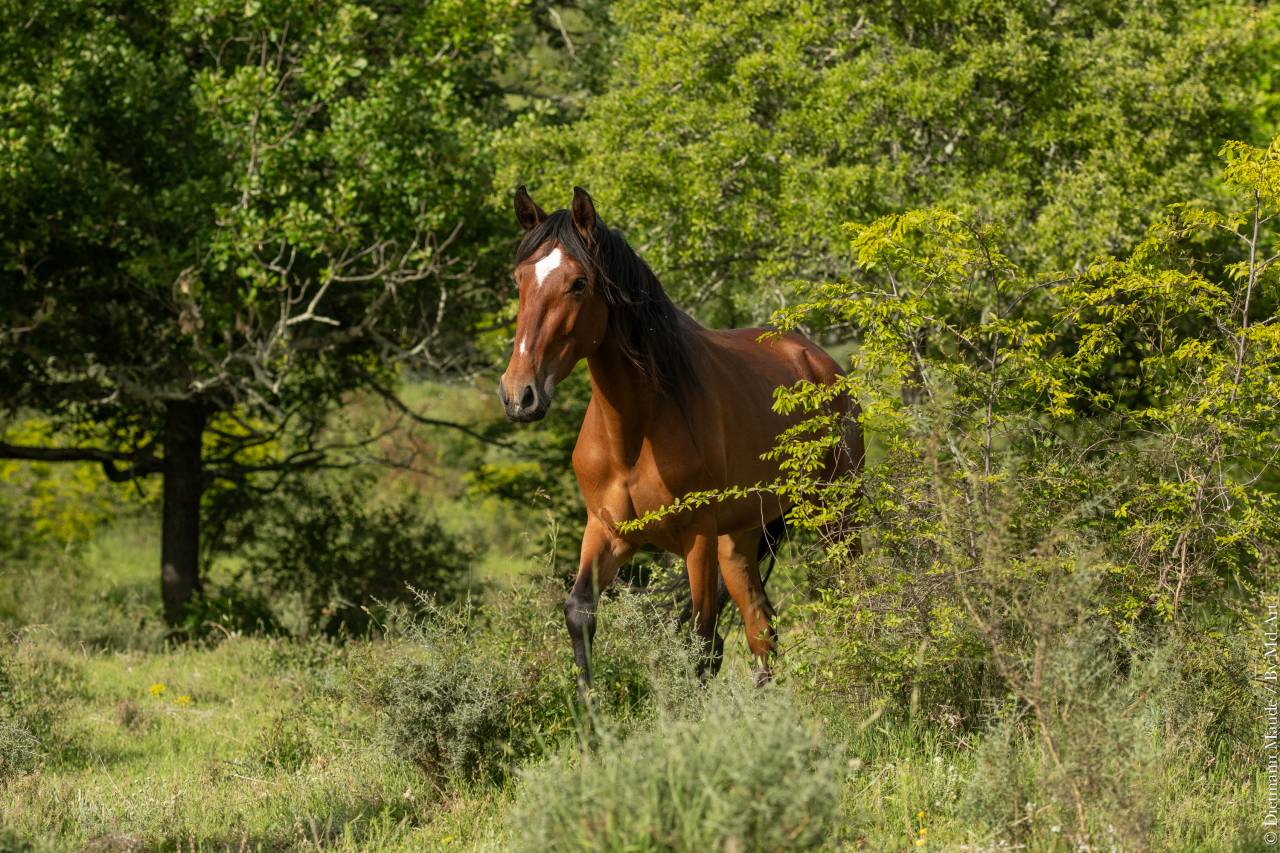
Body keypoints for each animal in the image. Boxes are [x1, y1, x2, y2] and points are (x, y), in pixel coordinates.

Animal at [498, 186, 863, 688]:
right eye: (519, 279)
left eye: (578, 283)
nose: (519, 394)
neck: (635, 434)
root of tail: (820, 363)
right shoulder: (607, 530)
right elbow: (579, 613)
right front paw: (589, 708)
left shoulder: (697, 536)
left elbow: (702, 643)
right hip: (740, 541)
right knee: (762, 631)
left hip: (836, 515)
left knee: (852, 601)